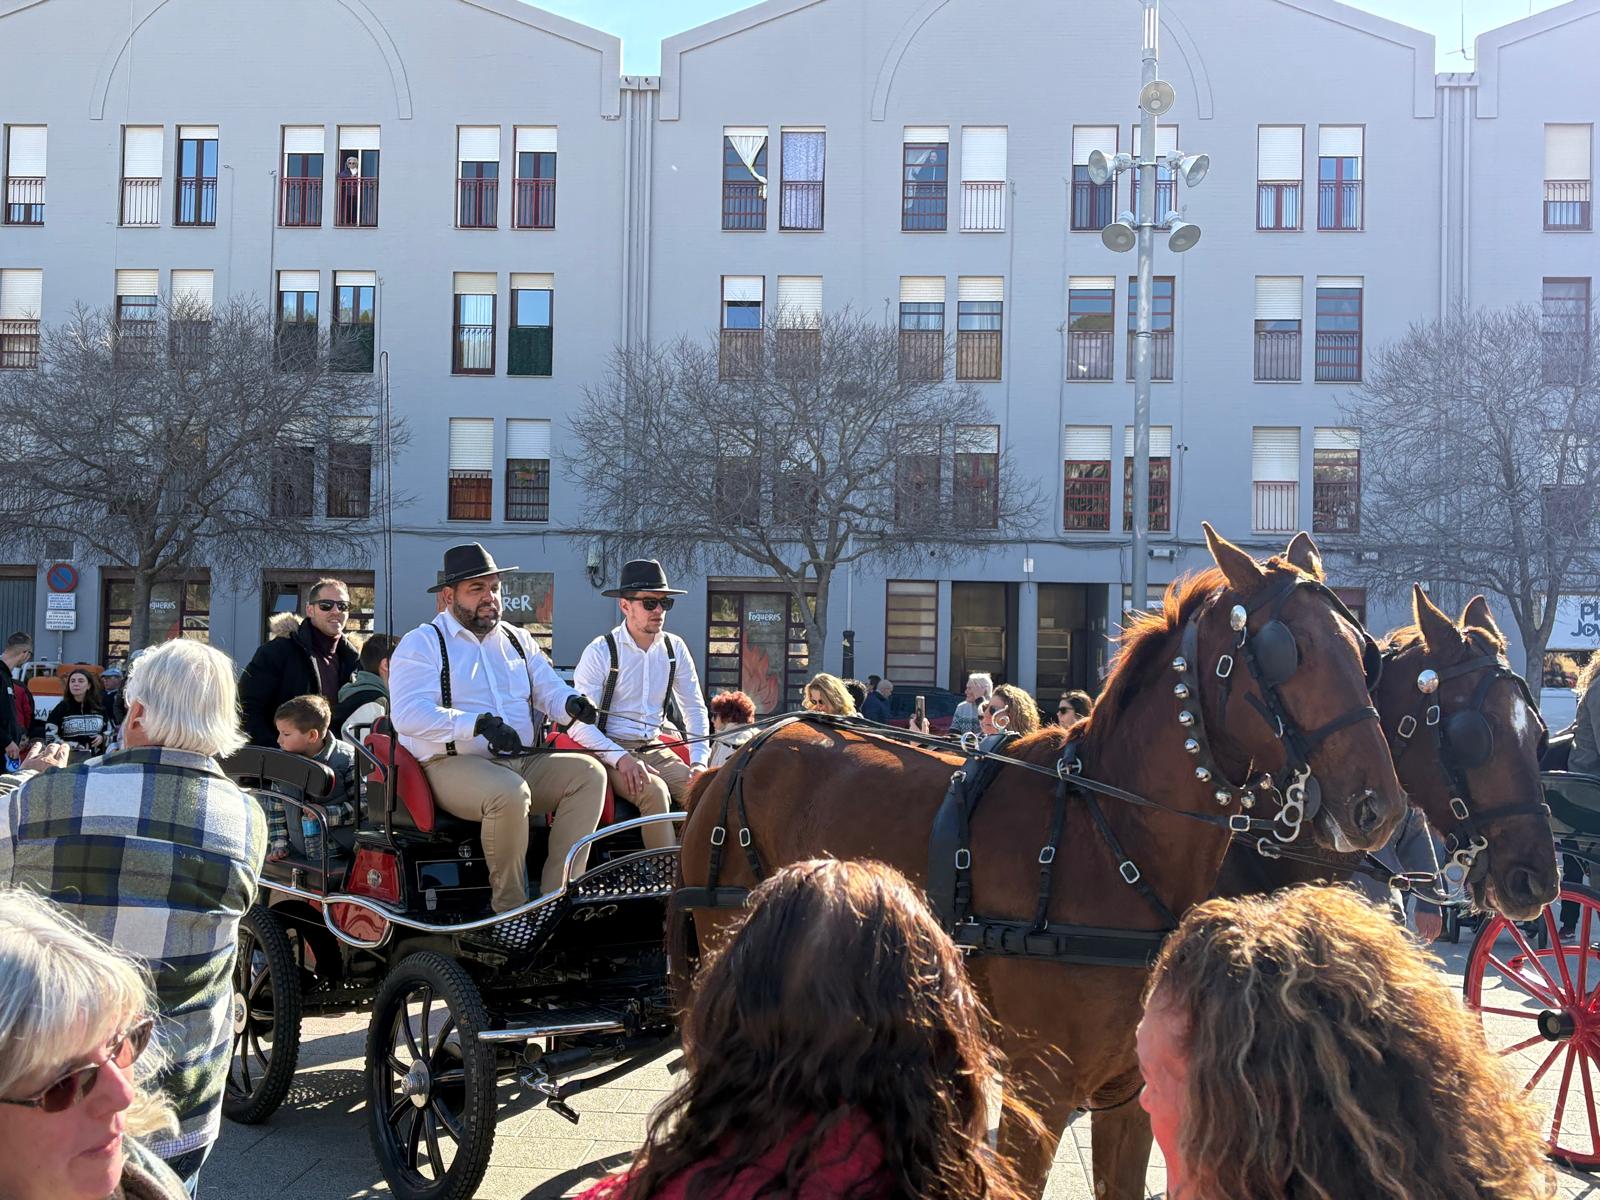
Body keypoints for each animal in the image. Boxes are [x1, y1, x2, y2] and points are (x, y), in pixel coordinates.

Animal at [675, 528, 1414, 1200]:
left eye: (1364, 655)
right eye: (1287, 653)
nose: (1379, 806)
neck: (1111, 836)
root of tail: (742, 753)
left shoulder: (1128, 1096)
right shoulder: (1041, 1092)